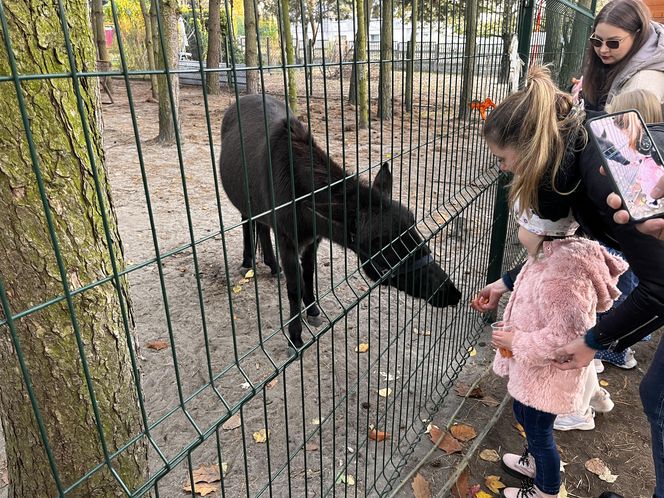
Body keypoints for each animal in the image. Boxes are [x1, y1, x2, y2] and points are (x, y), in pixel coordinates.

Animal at [220, 94, 460, 350]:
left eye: (413, 224)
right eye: (381, 244)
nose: (451, 293)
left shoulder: (314, 238)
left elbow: (308, 272)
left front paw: (313, 310)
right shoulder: (287, 238)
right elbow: (294, 287)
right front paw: (295, 337)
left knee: (262, 227)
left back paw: (272, 267)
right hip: (244, 201)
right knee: (248, 222)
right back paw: (249, 262)